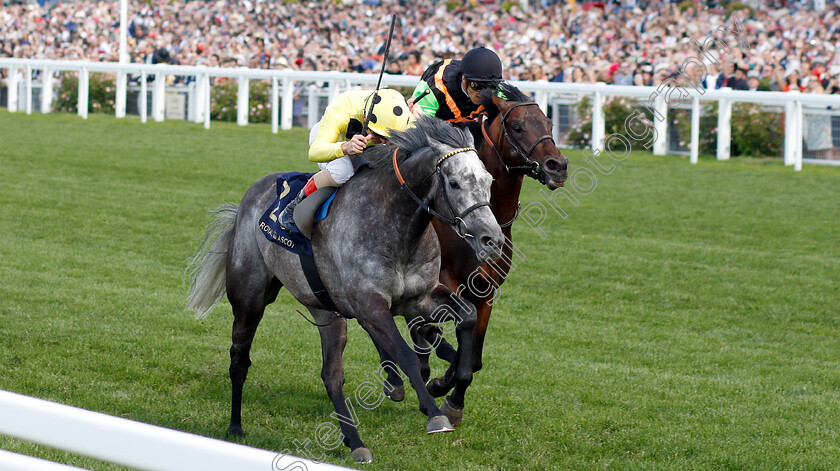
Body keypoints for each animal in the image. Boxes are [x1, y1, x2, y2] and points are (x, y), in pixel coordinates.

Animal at [186, 116, 502, 462]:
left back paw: (356, 442)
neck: (398, 226)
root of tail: (247, 199)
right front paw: (435, 415)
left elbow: (468, 316)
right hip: (249, 300)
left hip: (326, 312)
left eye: (488, 180)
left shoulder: (419, 298)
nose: (492, 240)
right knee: (239, 360)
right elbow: (405, 355)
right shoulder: (370, 305)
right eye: (455, 183)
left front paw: (452, 394)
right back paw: (235, 427)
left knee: (331, 374)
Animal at [378, 83, 568, 426]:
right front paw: (440, 384)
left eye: (549, 123)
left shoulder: (487, 291)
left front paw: (449, 392)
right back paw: (398, 377)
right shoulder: (447, 281)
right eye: (517, 126)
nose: (557, 166)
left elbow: (473, 357)